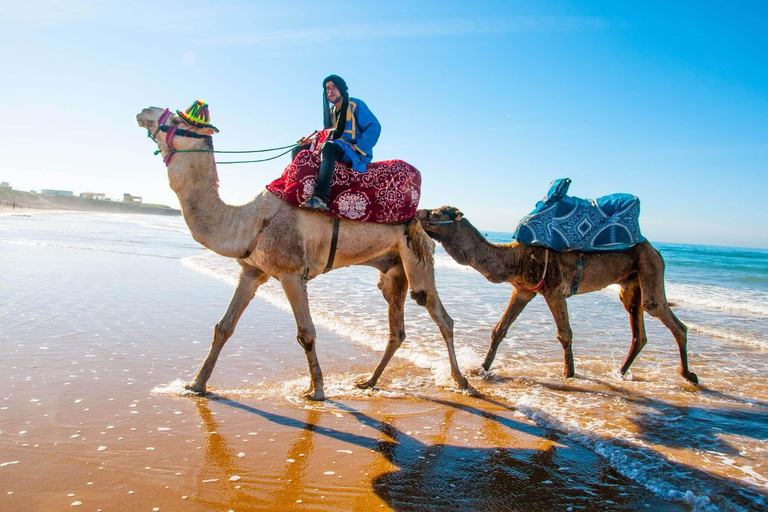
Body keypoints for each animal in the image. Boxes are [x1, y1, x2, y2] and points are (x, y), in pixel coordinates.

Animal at [136, 105, 468, 400]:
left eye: (178, 120)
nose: (144, 111)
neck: (251, 220)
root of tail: (421, 216)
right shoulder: (252, 271)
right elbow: (224, 327)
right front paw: (196, 385)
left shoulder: (291, 272)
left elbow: (306, 332)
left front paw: (317, 391)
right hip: (393, 268)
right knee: (396, 328)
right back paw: (369, 382)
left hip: (416, 255)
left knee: (438, 313)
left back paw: (462, 382)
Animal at [416, 205, 700, 384]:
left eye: (439, 212)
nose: (418, 212)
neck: (516, 257)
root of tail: (655, 248)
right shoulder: (523, 289)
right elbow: (499, 329)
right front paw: (481, 369)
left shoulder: (554, 291)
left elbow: (565, 334)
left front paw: (569, 373)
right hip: (631, 283)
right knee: (638, 328)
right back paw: (620, 372)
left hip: (650, 266)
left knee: (663, 313)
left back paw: (689, 375)